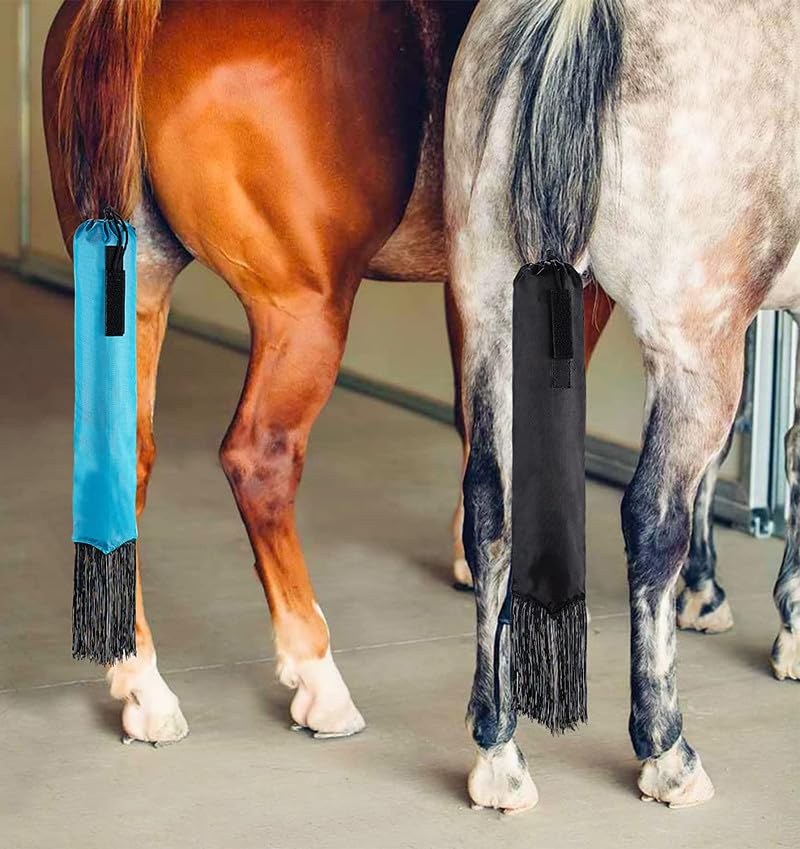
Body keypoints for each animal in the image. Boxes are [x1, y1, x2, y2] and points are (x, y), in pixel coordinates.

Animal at [44, 0, 614, 753]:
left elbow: (477, 416)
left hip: (135, 293)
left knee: (121, 463)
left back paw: (144, 684)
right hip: (304, 310)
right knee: (259, 460)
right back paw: (319, 681)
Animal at [446, 0, 800, 813]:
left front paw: (707, 592)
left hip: (490, 314)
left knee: (489, 507)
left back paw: (499, 752)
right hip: (694, 346)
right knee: (650, 518)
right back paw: (667, 751)